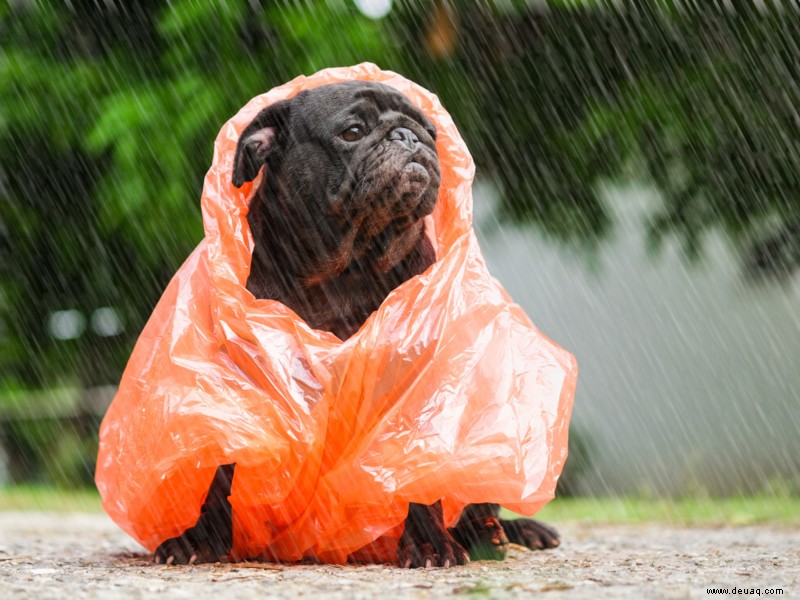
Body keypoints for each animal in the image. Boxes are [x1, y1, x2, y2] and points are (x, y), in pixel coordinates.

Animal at [153, 79, 560, 568]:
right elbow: (220, 471)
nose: (409, 136)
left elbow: (416, 476)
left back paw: (493, 534)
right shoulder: (243, 389)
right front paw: (198, 538)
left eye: (430, 131)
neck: (347, 268)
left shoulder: (415, 394)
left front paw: (430, 543)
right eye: (352, 131)